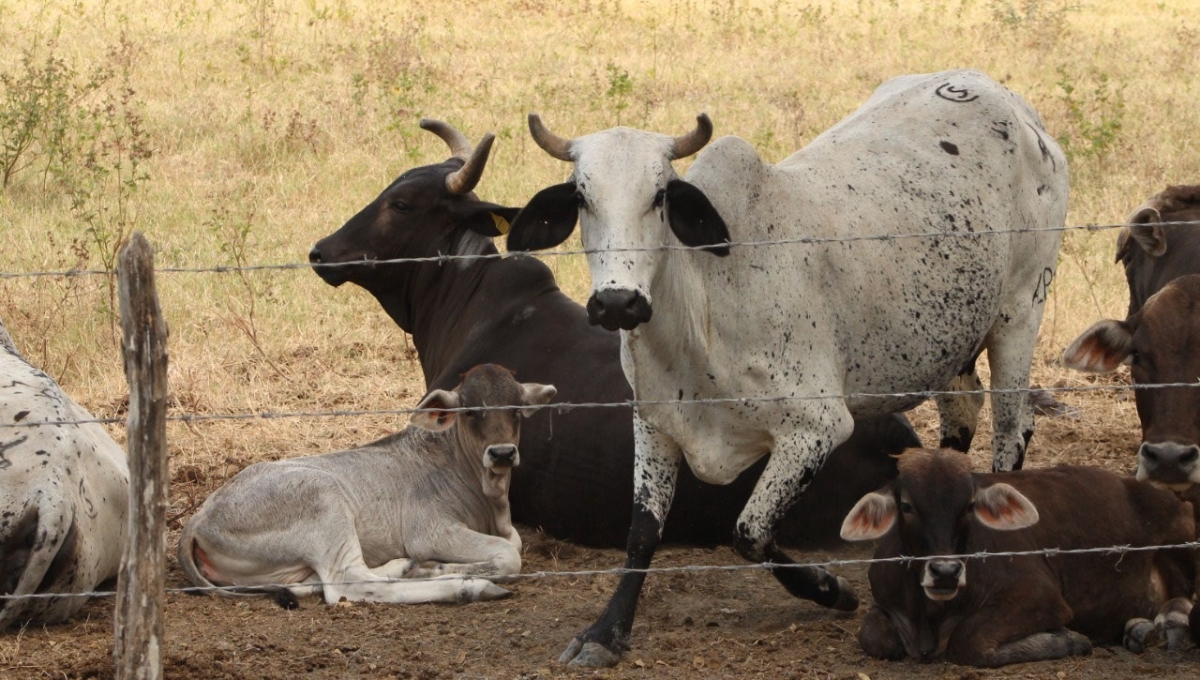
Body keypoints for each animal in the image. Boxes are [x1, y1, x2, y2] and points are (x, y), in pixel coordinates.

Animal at [177, 366, 556, 606]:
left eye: (518, 409)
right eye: (470, 412)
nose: (502, 453)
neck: (490, 499)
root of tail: (198, 518)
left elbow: (514, 543)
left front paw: (427, 567)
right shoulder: (430, 531)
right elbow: (509, 556)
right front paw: (442, 568)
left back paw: (405, 567)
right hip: (324, 502)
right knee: (348, 583)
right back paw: (466, 587)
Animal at [506, 69, 1070, 666]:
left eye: (659, 196)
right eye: (581, 196)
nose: (618, 302)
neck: (706, 303)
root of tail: (1009, 102)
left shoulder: (817, 427)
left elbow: (749, 532)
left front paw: (832, 589)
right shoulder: (655, 423)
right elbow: (642, 531)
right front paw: (604, 632)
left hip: (1019, 312)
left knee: (1011, 429)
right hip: (951, 338)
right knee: (962, 416)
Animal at [840, 448, 1195, 666]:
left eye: (969, 505)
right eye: (907, 506)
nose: (945, 572)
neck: (930, 615)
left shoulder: (1041, 597)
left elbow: (967, 640)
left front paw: (1068, 640)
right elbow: (873, 637)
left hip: (1184, 535)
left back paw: (1169, 622)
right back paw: (1139, 629)